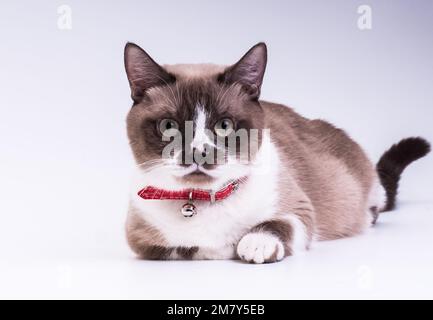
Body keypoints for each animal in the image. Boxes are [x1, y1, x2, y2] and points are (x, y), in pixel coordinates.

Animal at [122, 42, 428, 262]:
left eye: (224, 126)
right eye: (169, 126)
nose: (199, 152)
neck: (199, 201)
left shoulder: (300, 210)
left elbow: (271, 226)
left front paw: (254, 243)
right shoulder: (142, 238)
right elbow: (189, 246)